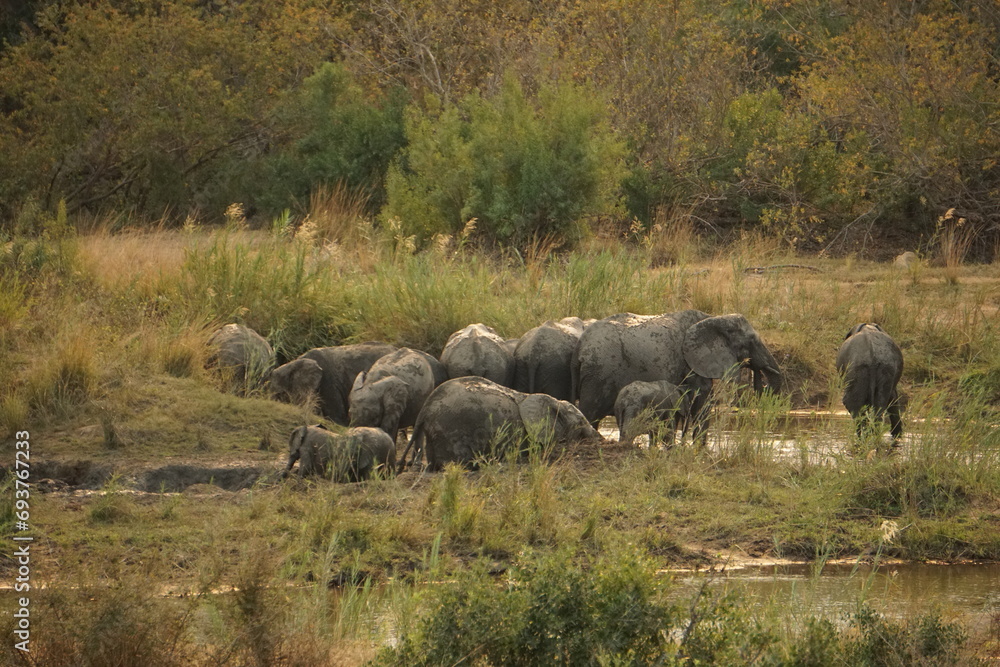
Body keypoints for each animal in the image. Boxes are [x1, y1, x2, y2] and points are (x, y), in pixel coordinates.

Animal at [573, 310, 782, 441]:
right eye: (752, 341)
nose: (762, 385)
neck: (714, 318)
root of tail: (580, 347)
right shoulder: (692, 364)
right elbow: (702, 404)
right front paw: (700, 454)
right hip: (598, 376)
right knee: (590, 413)